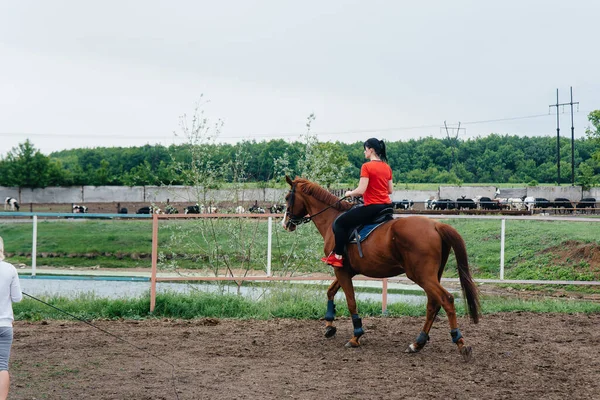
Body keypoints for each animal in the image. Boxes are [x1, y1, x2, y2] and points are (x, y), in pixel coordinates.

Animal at [282, 177, 482, 360]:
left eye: (287, 197)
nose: (285, 223)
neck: (332, 219)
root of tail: (436, 224)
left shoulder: (341, 271)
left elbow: (351, 301)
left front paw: (356, 336)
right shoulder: (346, 271)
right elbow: (330, 291)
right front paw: (330, 325)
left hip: (422, 276)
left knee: (446, 300)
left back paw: (459, 342)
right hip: (432, 276)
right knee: (433, 304)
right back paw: (418, 343)